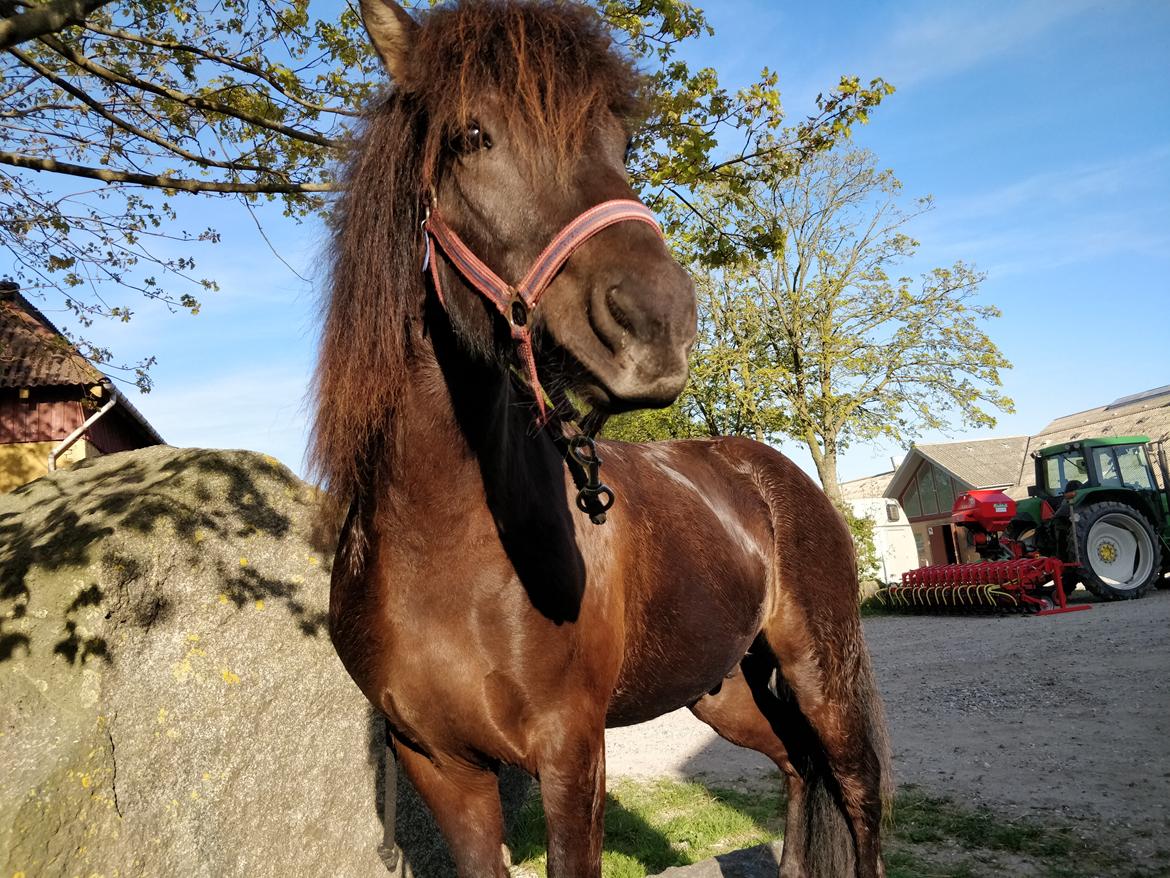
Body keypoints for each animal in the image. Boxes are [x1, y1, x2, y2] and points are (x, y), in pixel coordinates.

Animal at [315, 3, 889, 875]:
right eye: (471, 134)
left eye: (620, 142)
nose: (660, 322)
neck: (437, 547)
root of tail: (775, 474)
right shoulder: (439, 766)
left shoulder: (571, 753)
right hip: (722, 687)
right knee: (796, 765)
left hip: (824, 672)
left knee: (858, 797)